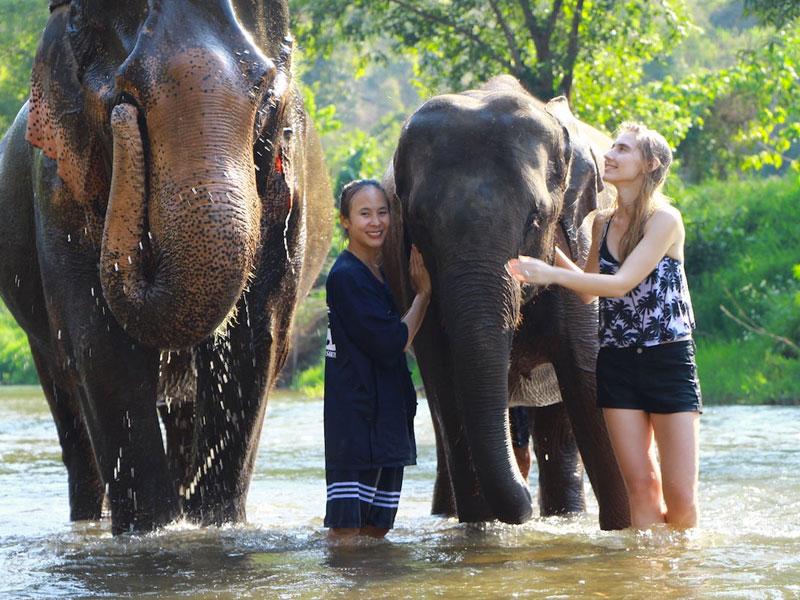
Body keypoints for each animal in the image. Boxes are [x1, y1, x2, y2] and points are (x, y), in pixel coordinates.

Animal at [0, 0, 332, 536]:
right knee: (65, 401)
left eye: (266, 98)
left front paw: (214, 527)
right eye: (124, 97)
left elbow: (255, 341)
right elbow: (101, 345)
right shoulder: (56, 185)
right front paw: (149, 531)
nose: (123, 121)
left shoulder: (288, 187)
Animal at [382, 75, 632, 528]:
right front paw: (480, 530)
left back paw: (563, 517)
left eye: (536, 217)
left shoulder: (581, 245)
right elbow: (446, 388)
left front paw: (629, 531)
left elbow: (588, 381)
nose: (524, 506)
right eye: (420, 222)